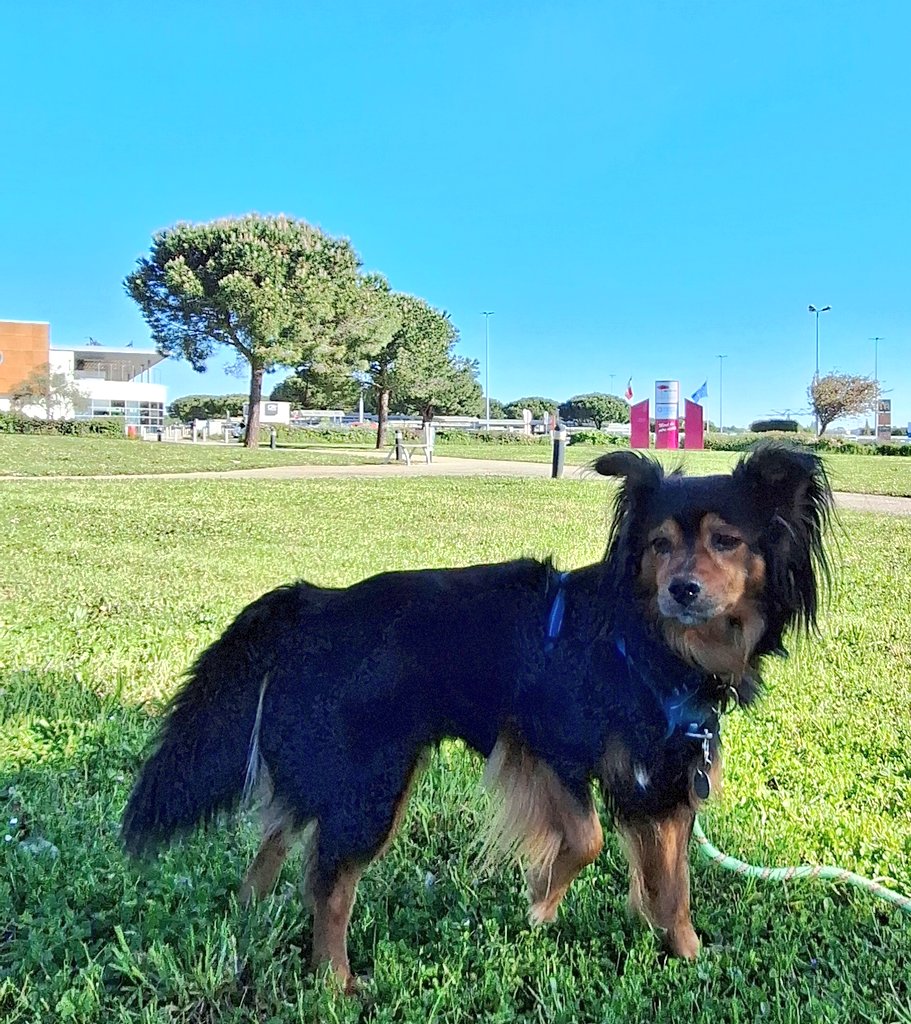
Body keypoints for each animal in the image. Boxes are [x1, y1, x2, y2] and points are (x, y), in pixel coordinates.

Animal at [122, 444, 831, 987]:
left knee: (278, 837)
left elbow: (672, 882)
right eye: (658, 545)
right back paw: (335, 981)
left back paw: (249, 914)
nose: (680, 589)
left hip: (330, 764)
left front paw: (685, 952)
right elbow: (588, 840)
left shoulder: (664, 780)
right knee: (328, 881)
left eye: (726, 541)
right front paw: (541, 901)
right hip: (373, 779)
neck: (652, 647)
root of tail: (316, 603)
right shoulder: (546, 745)